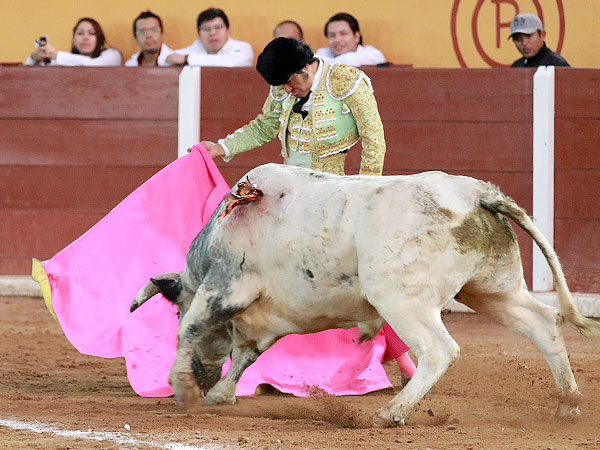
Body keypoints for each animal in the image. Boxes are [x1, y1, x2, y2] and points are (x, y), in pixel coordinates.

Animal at [129, 163, 596, 428]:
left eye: (174, 311)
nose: (203, 378)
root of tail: (476, 193)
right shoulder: (264, 318)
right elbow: (247, 354)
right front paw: (218, 394)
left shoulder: (224, 286)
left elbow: (194, 331)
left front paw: (183, 389)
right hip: (493, 289)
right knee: (543, 323)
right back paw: (568, 406)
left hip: (401, 298)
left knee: (439, 350)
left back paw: (390, 413)